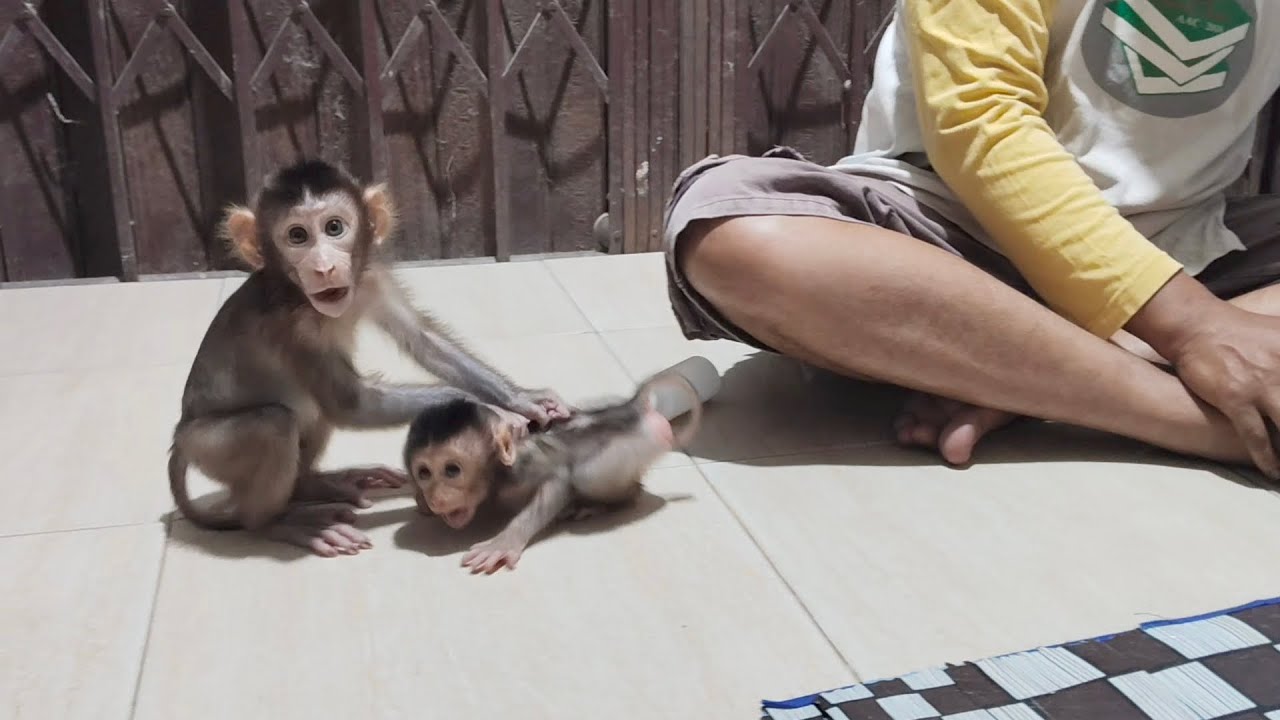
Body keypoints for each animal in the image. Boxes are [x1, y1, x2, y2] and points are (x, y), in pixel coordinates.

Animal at [168, 159, 570, 558]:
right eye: (297, 236)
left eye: (334, 228)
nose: (324, 267)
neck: (298, 295)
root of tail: (180, 437)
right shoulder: (293, 328)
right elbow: (349, 402)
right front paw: (493, 413)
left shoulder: (372, 277)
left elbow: (423, 340)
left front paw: (519, 397)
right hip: (210, 446)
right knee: (274, 423)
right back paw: (278, 523)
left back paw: (315, 485)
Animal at [403, 370, 703, 574]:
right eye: (424, 473)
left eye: (452, 470)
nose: (436, 498)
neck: (498, 473)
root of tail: (633, 408)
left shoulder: (523, 468)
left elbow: (558, 482)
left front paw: (504, 542)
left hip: (637, 445)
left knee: (591, 476)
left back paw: (606, 502)